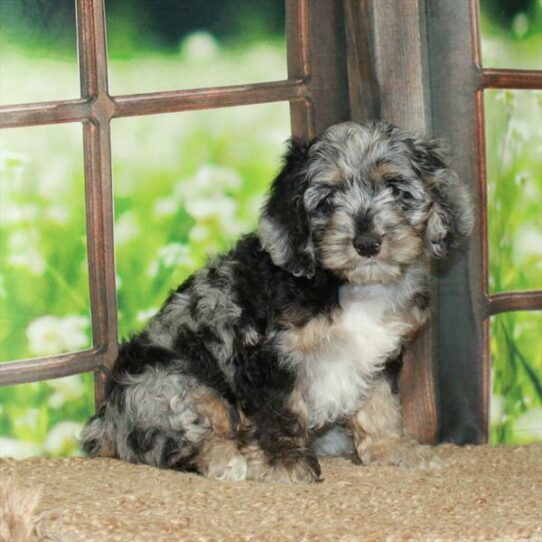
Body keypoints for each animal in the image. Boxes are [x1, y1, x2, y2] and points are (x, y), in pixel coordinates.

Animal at [82, 120, 476, 484]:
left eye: (396, 189)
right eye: (328, 199)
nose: (367, 243)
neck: (346, 283)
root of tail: (105, 422)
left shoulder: (378, 353)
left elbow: (379, 403)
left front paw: (392, 449)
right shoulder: (268, 357)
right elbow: (279, 411)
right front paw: (284, 462)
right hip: (169, 384)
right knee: (174, 440)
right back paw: (225, 458)